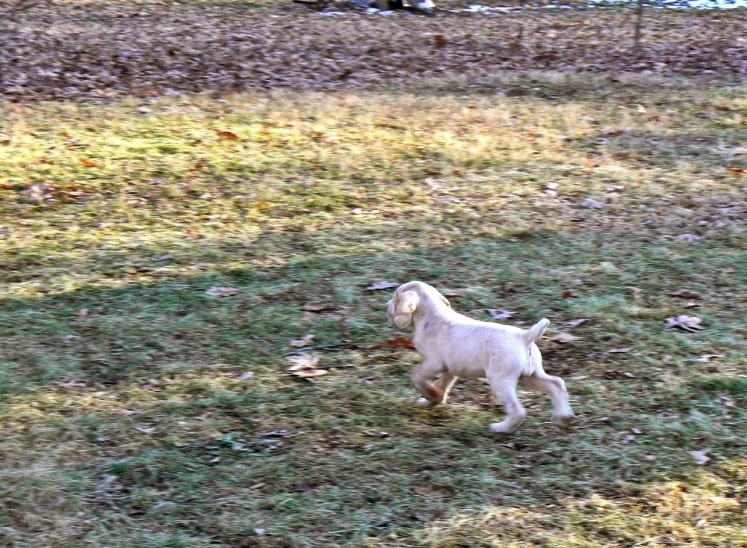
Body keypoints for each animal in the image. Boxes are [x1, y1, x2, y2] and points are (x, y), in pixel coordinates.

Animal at [388, 282, 576, 432]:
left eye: (395, 297)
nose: (386, 304)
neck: (432, 314)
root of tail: (524, 336)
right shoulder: (449, 370)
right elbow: (442, 385)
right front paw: (433, 399)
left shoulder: (432, 363)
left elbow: (417, 378)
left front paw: (431, 394)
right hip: (530, 376)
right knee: (556, 384)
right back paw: (563, 417)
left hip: (500, 379)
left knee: (518, 411)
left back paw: (501, 428)